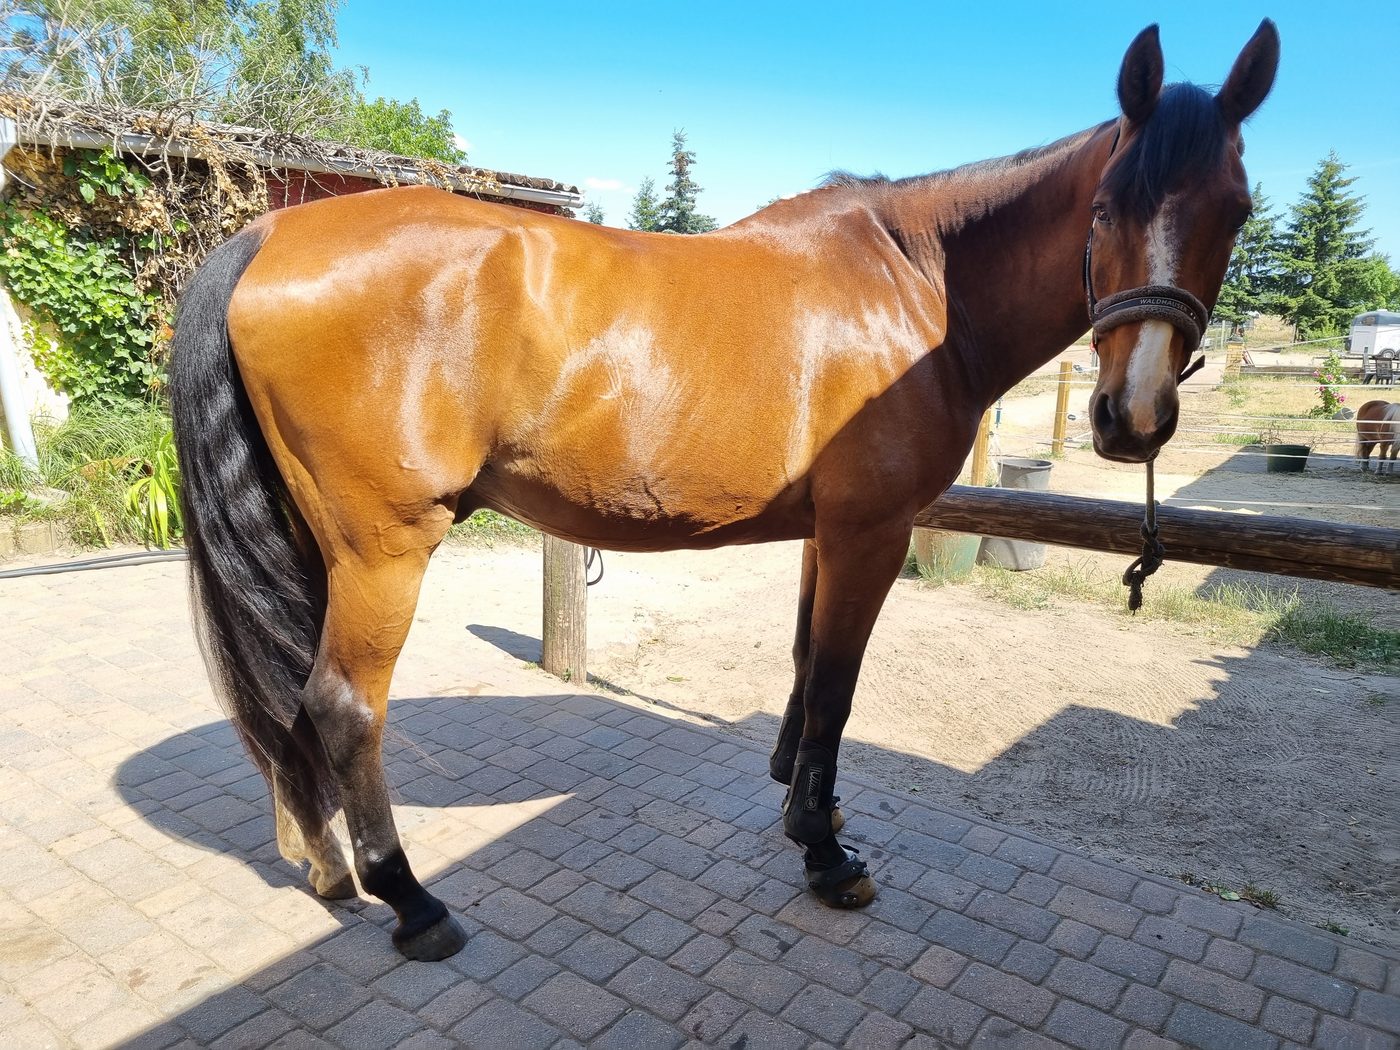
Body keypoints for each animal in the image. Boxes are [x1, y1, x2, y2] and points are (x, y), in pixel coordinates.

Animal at [169, 22, 1278, 960]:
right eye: (1106, 206)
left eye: (1234, 211)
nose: (1132, 416)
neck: (916, 286)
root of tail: (266, 239)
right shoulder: (872, 532)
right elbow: (835, 685)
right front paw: (825, 857)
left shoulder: (828, 533)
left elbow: (805, 667)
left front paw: (810, 808)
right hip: (385, 548)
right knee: (344, 704)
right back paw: (411, 901)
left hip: (316, 543)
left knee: (291, 701)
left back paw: (323, 861)